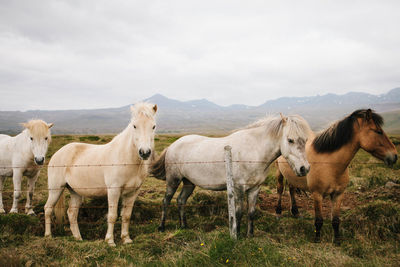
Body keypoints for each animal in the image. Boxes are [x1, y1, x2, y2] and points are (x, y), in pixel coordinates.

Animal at [43, 102, 156, 247]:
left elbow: (126, 216)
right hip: (56, 189)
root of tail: (58, 153)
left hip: (75, 192)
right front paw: (110, 241)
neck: (126, 158)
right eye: (134, 126)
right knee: (48, 209)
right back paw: (48, 236)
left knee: (72, 213)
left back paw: (78, 238)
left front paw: (126, 239)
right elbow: (112, 216)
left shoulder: (133, 192)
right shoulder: (113, 191)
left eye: (153, 126)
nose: (145, 152)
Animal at [151, 114, 312, 238]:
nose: (304, 168)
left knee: (181, 200)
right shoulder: (239, 188)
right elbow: (239, 212)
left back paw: (183, 226)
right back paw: (161, 227)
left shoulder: (255, 189)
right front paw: (237, 235)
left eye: (305, 140)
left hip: (189, 183)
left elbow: (251, 212)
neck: (253, 151)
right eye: (290, 140)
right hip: (173, 181)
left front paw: (250, 235)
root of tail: (173, 145)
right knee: (166, 201)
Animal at [276, 109, 398, 245]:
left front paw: (337, 240)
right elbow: (319, 220)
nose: (394, 156)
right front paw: (317, 239)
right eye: (378, 131)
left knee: (291, 189)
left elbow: (335, 220)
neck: (329, 163)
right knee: (280, 189)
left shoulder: (338, 194)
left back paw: (296, 212)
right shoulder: (317, 195)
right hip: (279, 172)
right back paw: (278, 212)